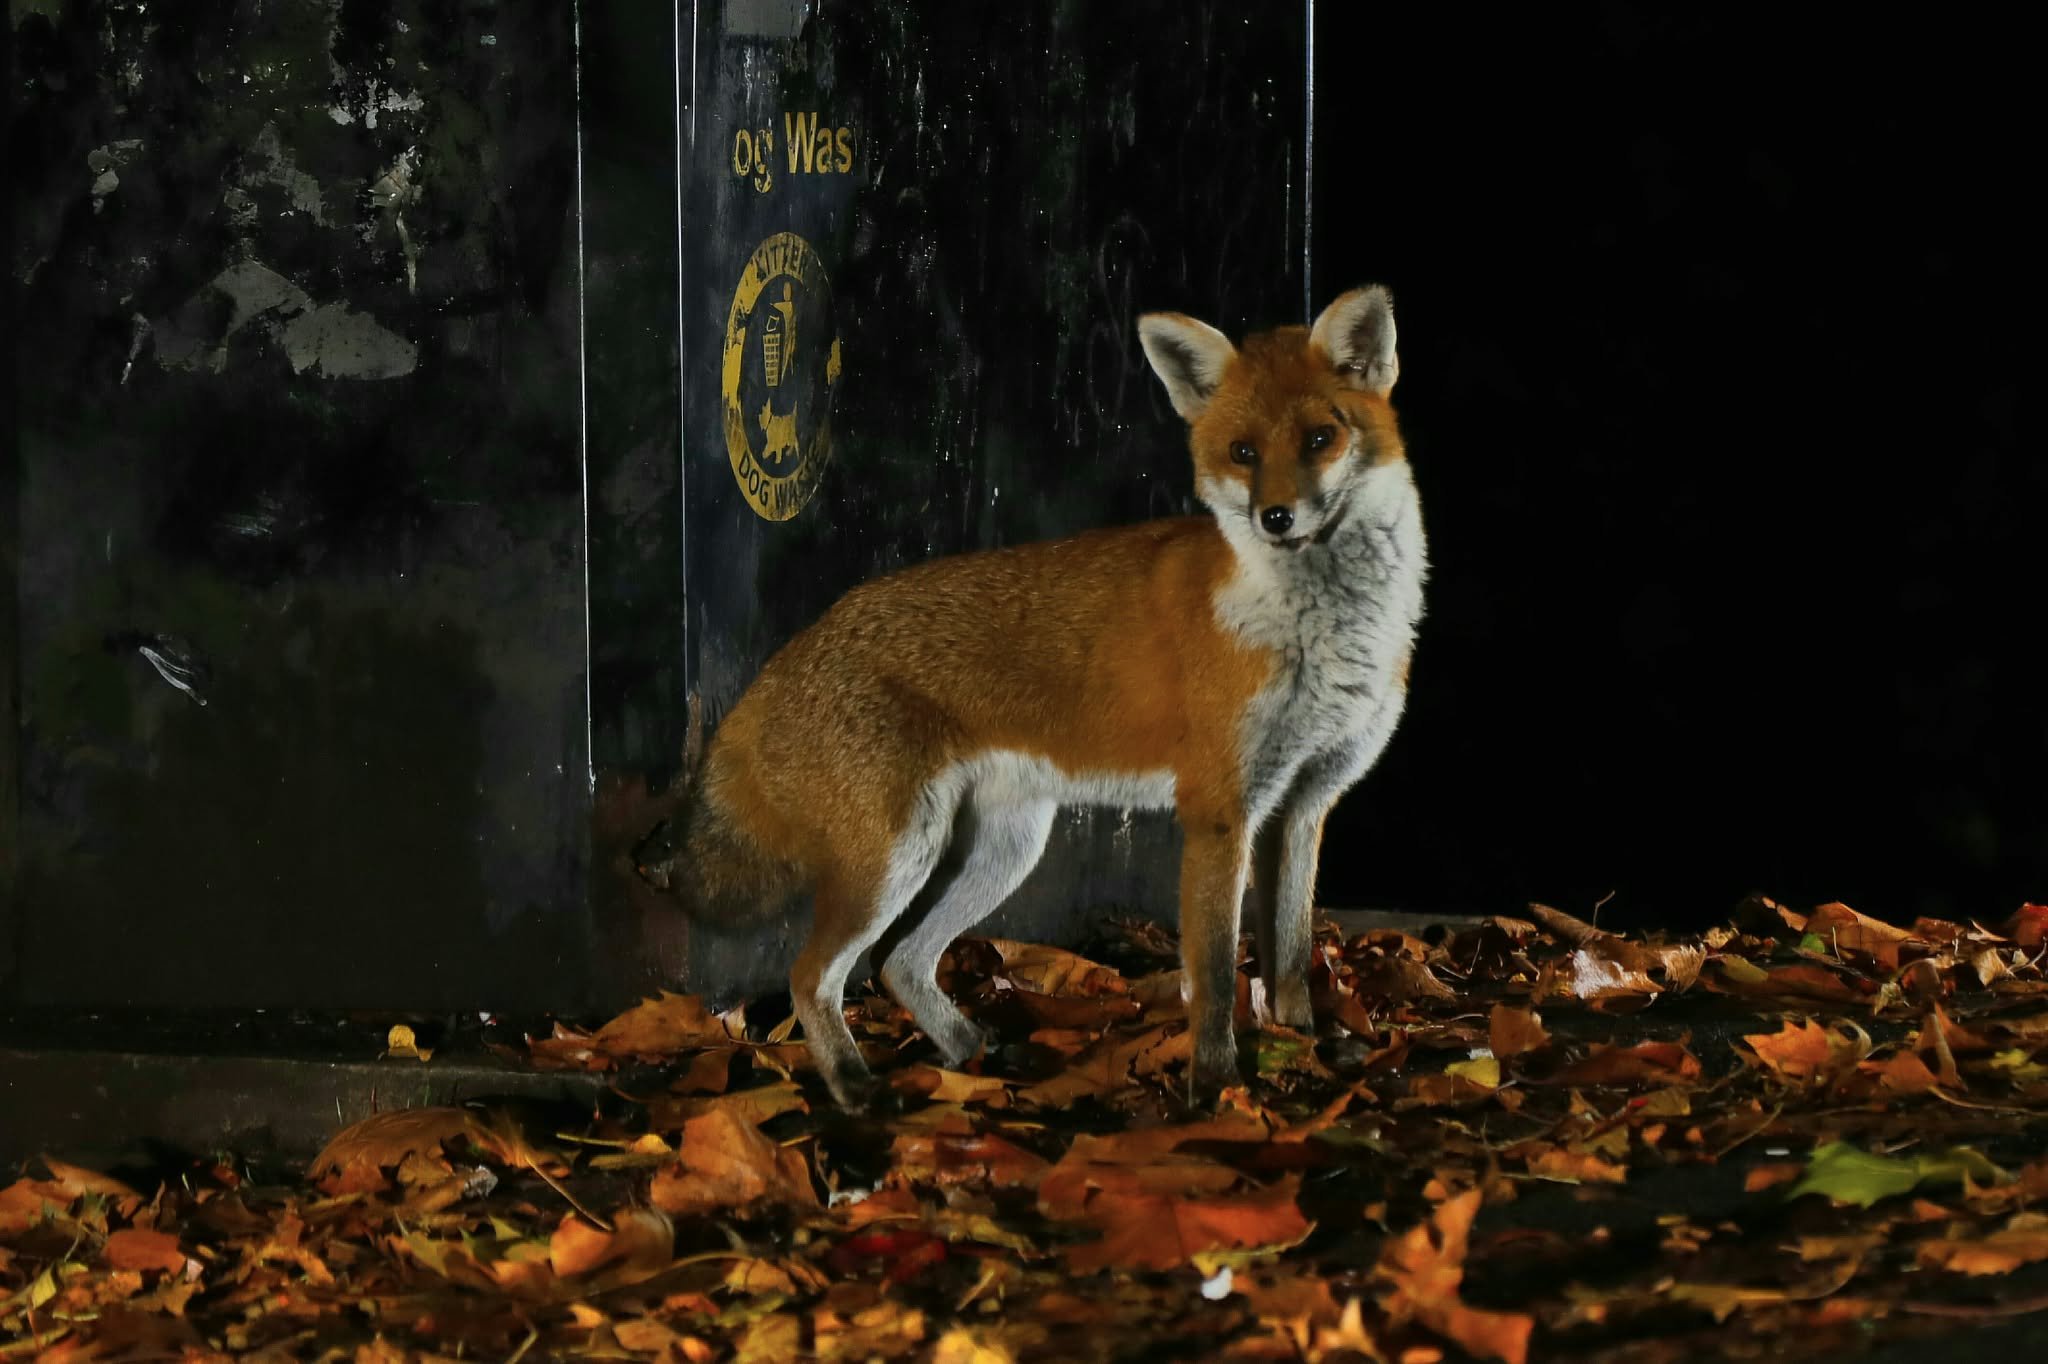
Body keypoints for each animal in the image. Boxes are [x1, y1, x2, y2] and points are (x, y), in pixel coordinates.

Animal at [674, 286, 1427, 1108]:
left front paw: (1305, 1046)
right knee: (813, 975)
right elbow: (1216, 977)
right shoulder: (1220, 811)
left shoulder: (1303, 805)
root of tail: (798, 644)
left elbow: (1288, 955)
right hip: (897, 859)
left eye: (1321, 438)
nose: (1277, 518)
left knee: (899, 962)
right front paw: (1216, 1085)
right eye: (1244, 454)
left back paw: (970, 1050)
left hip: (1003, 850)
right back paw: (854, 1086)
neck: (1320, 631)